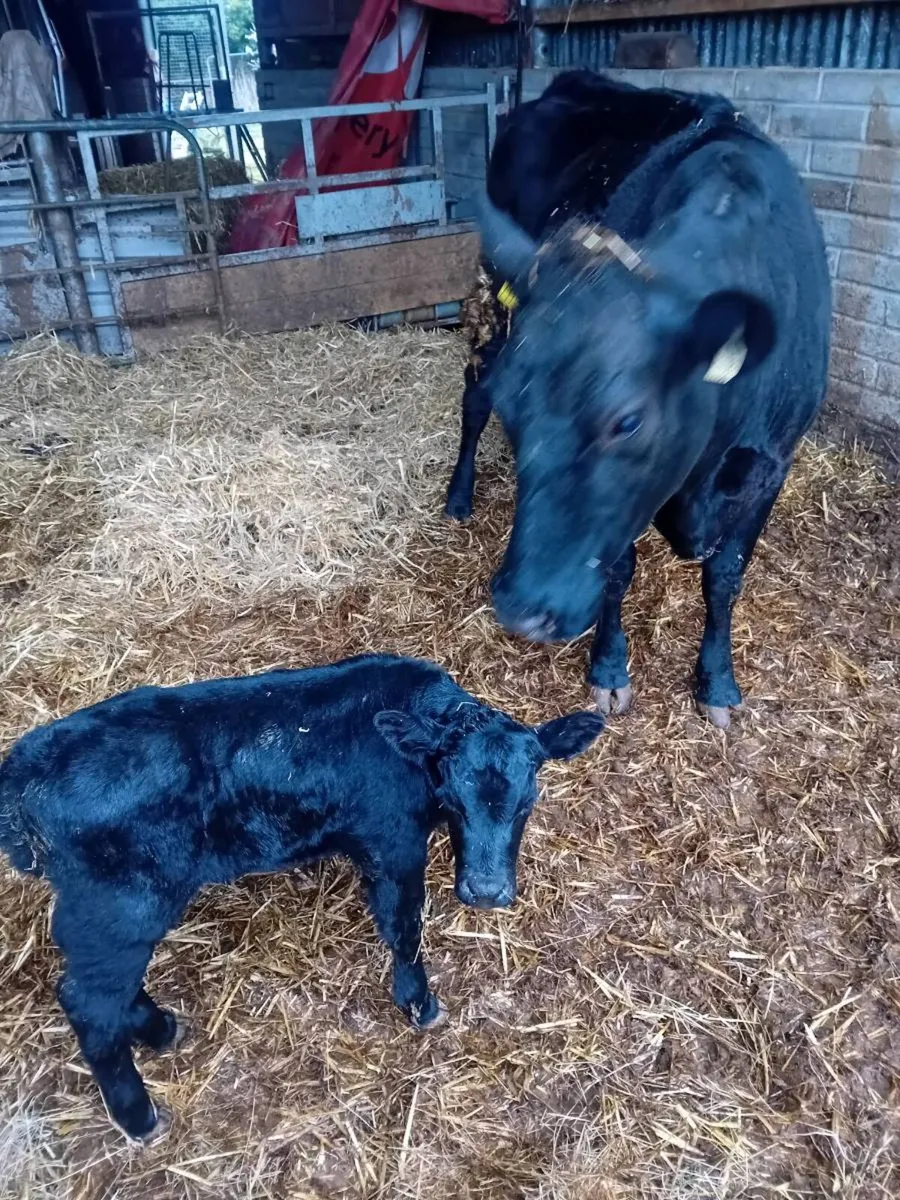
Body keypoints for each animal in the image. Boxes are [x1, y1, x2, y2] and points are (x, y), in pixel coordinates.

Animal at [0, 653, 603, 1142]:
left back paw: (160, 1029)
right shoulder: (393, 844)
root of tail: (23, 771)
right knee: (89, 1003)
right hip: (119, 905)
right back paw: (139, 1115)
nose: (485, 891)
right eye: (452, 798)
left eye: (528, 800)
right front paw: (419, 1002)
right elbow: (404, 925)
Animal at [445, 70, 831, 728]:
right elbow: (616, 571)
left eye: (627, 421)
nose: (521, 609)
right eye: (518, 410)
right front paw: (608, 670)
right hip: (492, 301)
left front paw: (717, 682)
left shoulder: (772, 461)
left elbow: (725, 575)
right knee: (474, 399)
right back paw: (459, 494)